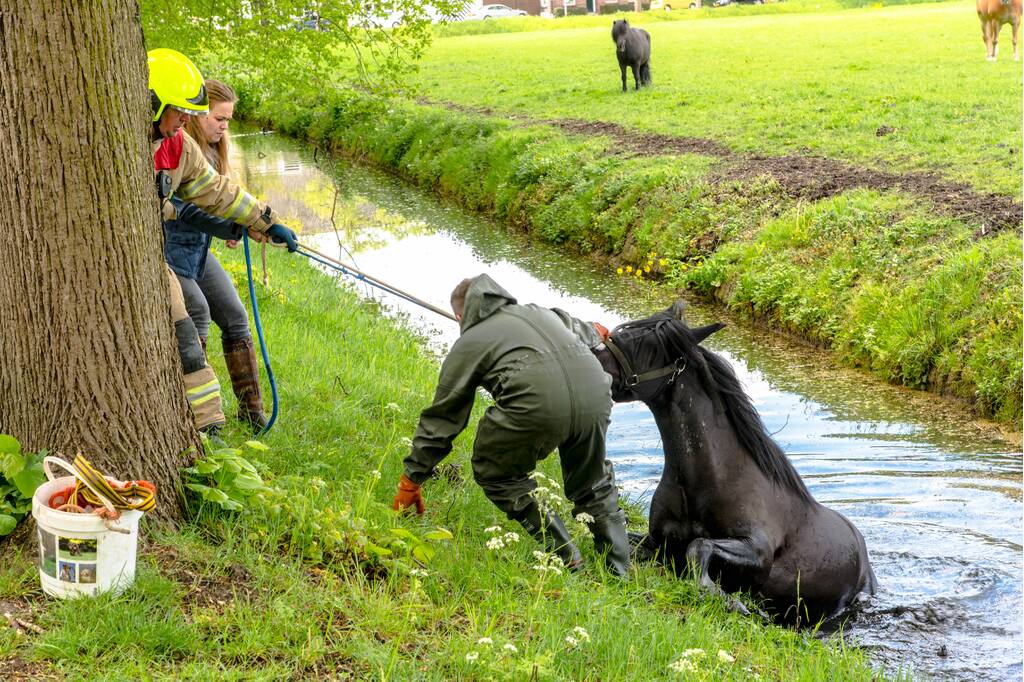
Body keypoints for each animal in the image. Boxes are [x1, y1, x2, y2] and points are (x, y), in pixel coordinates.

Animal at [594, 303, 877, 625]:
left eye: (644, 346)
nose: (590, 356)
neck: (709, 479)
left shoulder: (757, 551)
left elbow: (699, 546)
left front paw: (729, 599)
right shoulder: (657, 543)